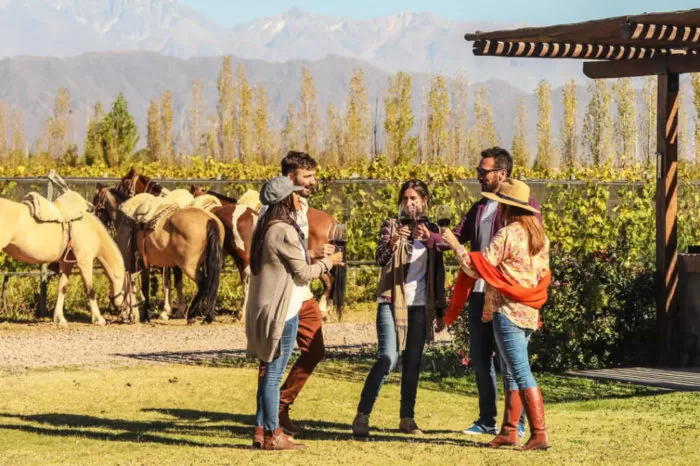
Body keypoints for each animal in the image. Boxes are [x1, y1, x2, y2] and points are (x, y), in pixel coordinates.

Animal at [0, 195, 127, 326]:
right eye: (127, 291)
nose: (127, 316)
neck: (92, 229)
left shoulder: (66, 264)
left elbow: (62, 288)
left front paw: (60, 319)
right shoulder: (84, 261)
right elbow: (90, 289)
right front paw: (99, 319)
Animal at [93, 186, 224, 324]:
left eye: (96, 201)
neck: (124, 219)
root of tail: (209, 220)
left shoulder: (130, 263)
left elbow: (134, 286)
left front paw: (137, 314)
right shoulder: (143, 263)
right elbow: (145, 286)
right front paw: (144, 313)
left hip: (189, 266)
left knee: (204, 283)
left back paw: (192, 314)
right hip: (210, 262)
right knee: (213, 283)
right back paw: (208, 315)